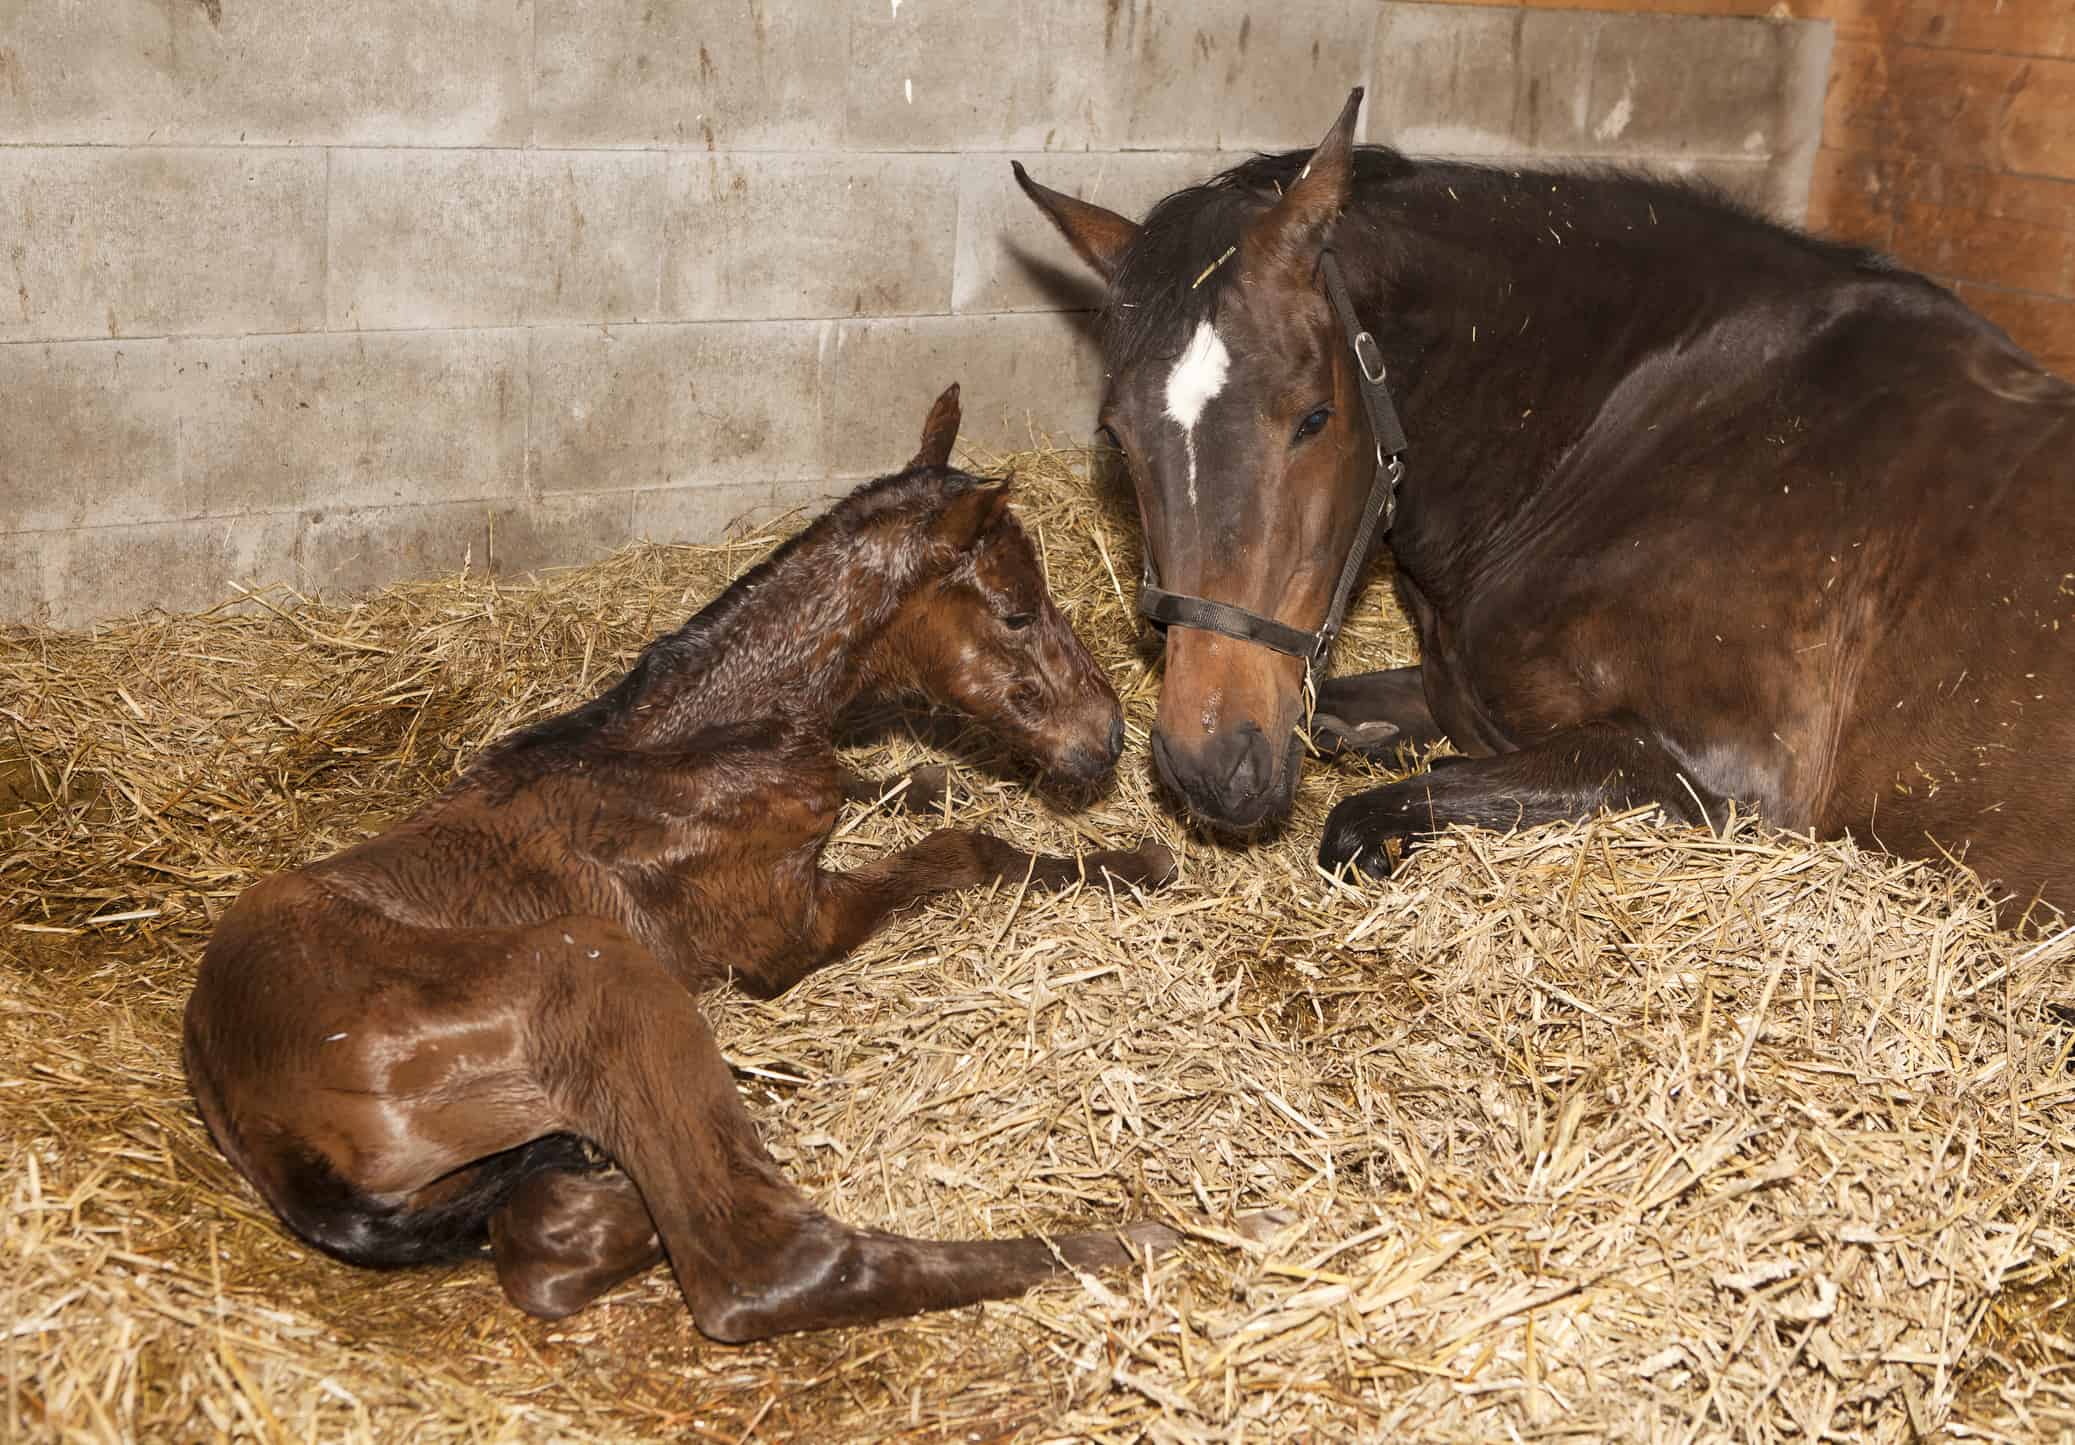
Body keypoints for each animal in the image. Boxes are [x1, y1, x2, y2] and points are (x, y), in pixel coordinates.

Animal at [188, 386, 1195, 1345]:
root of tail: (250, 1106)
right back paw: (1125, 1240)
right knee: (758, 1263)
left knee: (547, 1230)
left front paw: (923, 778)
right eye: (1018, 611)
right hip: (592, 967)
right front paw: (1135, 860)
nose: (1108, 736)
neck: (698, 747)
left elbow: (892, 791)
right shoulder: (788, 933)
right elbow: (962, 850)